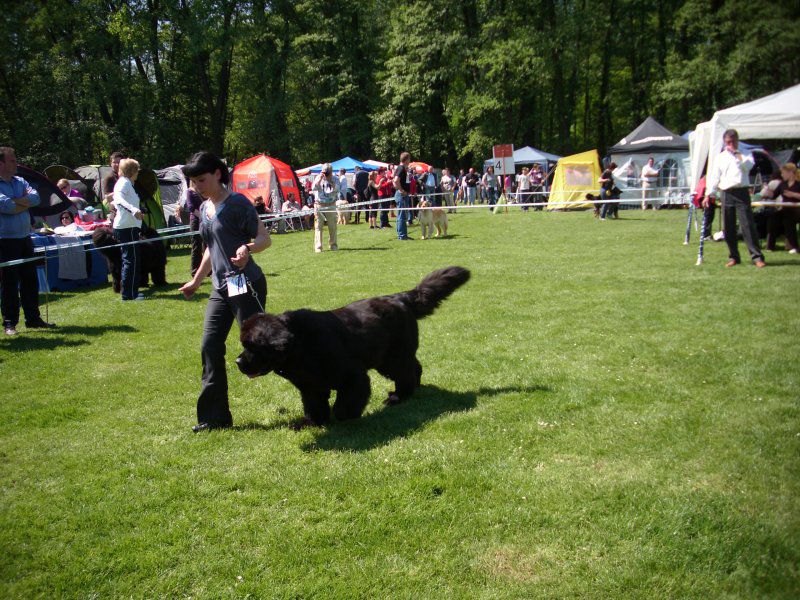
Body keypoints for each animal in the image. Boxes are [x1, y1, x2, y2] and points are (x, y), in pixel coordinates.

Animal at [238, 266, 472, 426]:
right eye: (244, 345)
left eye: (252, 346)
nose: (238, 361)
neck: (300, 347)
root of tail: (400, 297)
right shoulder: (310, 385)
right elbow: (314, 404)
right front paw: (312, 422)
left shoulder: (351, 374)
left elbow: (348, 400)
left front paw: (343, 415)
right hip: (390, 355)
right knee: (414, 366)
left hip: (391, 358)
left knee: (404, 373)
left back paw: (398, 397)